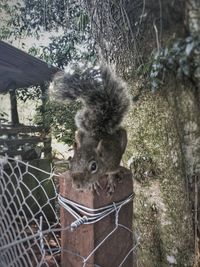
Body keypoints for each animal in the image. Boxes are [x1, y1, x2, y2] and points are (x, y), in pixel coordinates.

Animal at [51, 65, 130, 194]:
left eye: (94, 166)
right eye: (69, 165)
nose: (77, 186)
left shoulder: (114, 160)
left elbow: (113, 172)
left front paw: (112, 180)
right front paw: (93, 184)